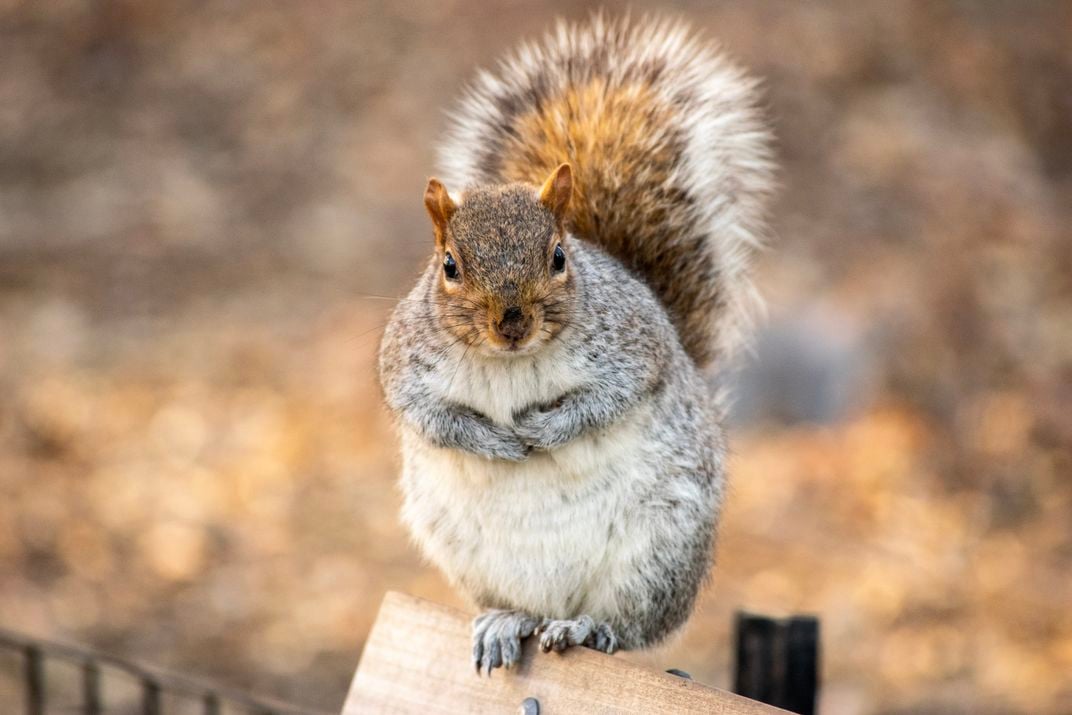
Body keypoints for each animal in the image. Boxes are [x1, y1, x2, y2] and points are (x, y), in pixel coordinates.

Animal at [377, 16, 771, 677]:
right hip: (469, 553)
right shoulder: (406, 367)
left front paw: (544, 430)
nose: (511, 322)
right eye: (449, 265)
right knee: (526, 608)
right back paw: (507, 622)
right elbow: (433, 417)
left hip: (655, 554)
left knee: (626, 625)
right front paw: (495, 441)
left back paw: (587, 627)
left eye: (558, 257)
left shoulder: (634, 346)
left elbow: (608, 399)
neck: (511, 363)